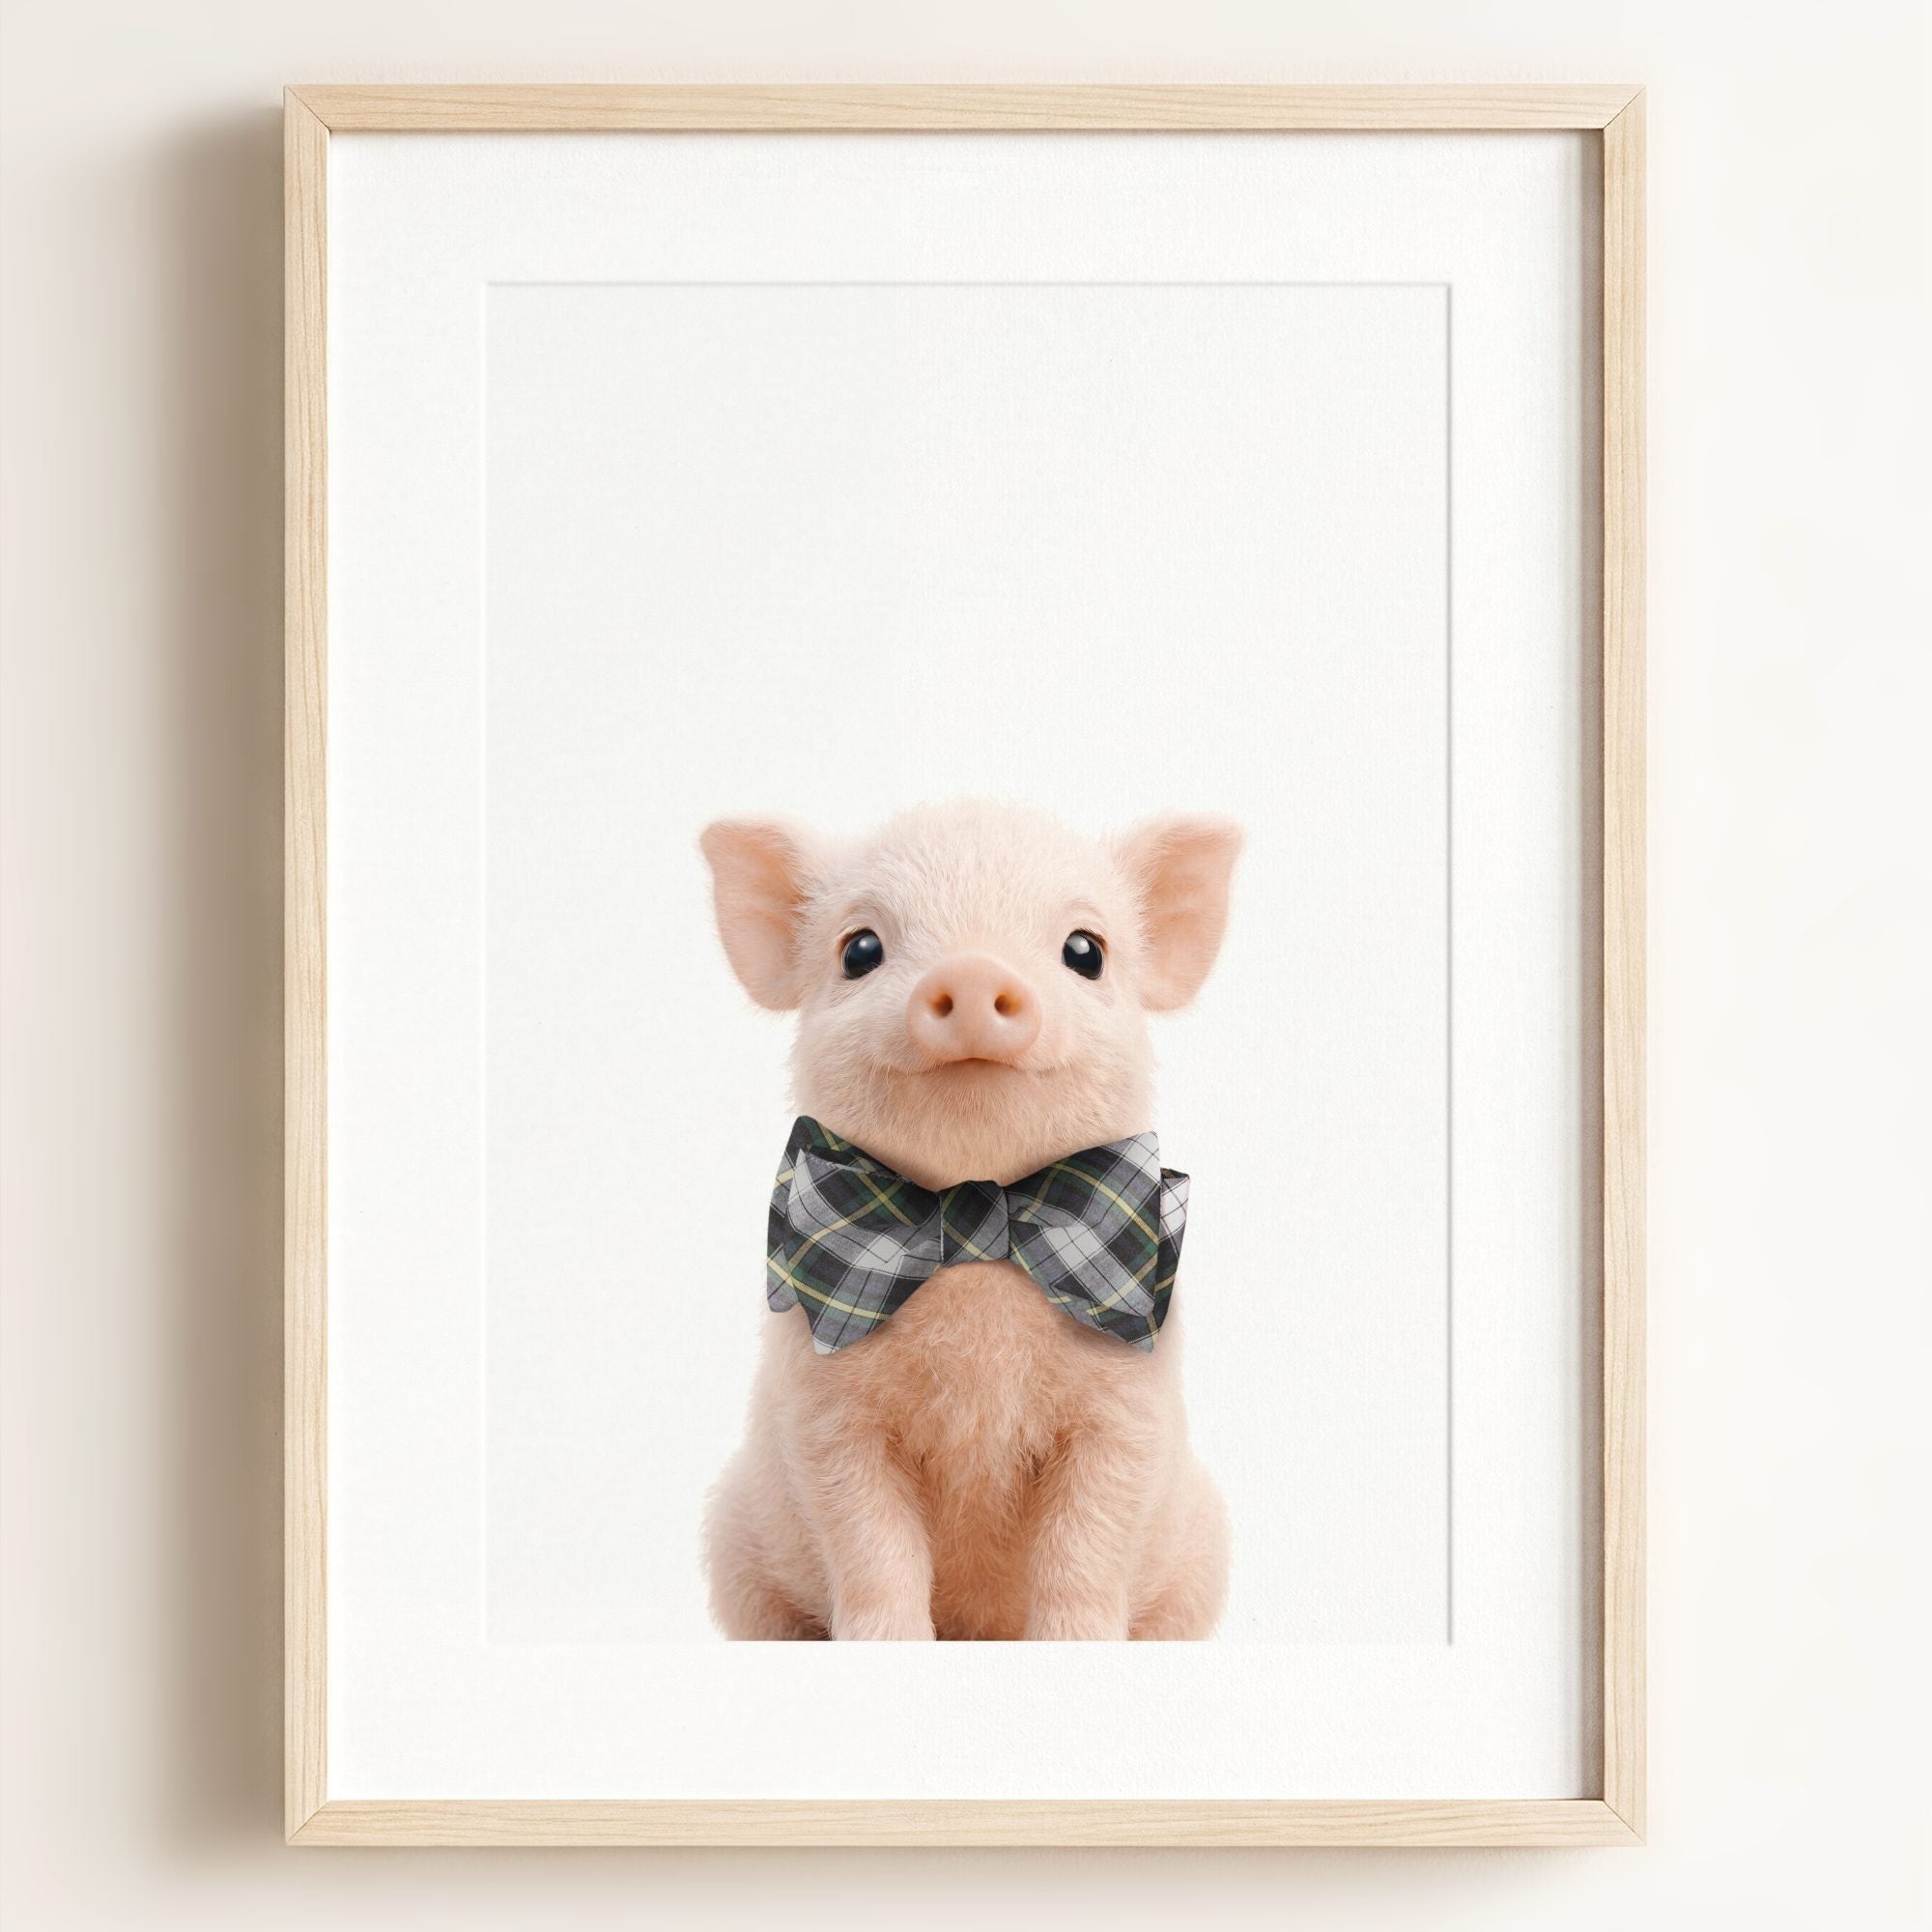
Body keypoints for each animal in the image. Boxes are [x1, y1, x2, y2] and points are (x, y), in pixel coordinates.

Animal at [699, 799, 1240, 1640]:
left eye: (1086, 951)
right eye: (860, 949)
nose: (975, 969)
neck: (977, 1224)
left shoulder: (1126, 1410)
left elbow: (1086, 1549)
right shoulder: (825, 1416)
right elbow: (872, 1548)